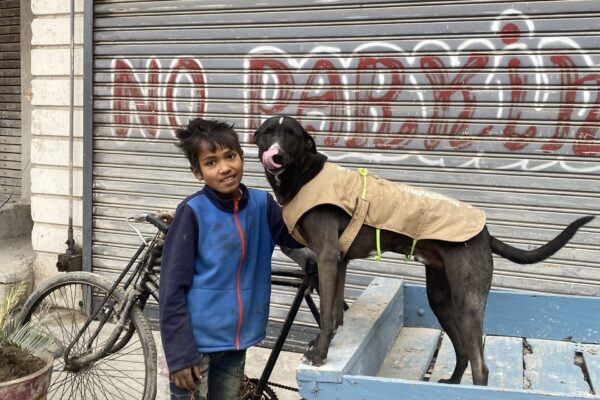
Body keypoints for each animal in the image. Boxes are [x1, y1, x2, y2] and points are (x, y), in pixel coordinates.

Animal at [252, 115, 592, 384]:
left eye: (291, 134)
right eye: (268, 132)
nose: (276, 156)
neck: (304, 175)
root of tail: (484, 232)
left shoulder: (326, 256)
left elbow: (325, 313)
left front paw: (321, 353)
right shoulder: (339, 260)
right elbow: (334, 311)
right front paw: (325, 343)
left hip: (468, 302)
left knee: (481, 367)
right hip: (440, 298)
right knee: (463, 351)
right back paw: (451, 384)